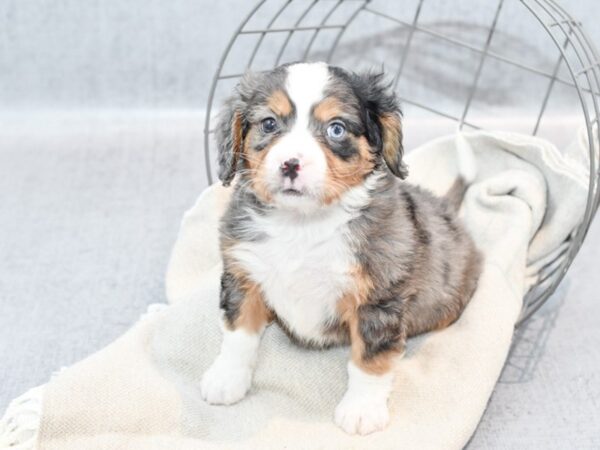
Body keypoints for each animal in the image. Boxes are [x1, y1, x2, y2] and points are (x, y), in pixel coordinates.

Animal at [202, 61, 482, 434]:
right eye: (269, 123)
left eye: (336, 129)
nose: (290, 164)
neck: (302, 226)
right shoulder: (243, 275)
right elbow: (238, 334)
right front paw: (226, 379)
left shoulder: (378, 301)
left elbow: (369, 360)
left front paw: (362, 409)